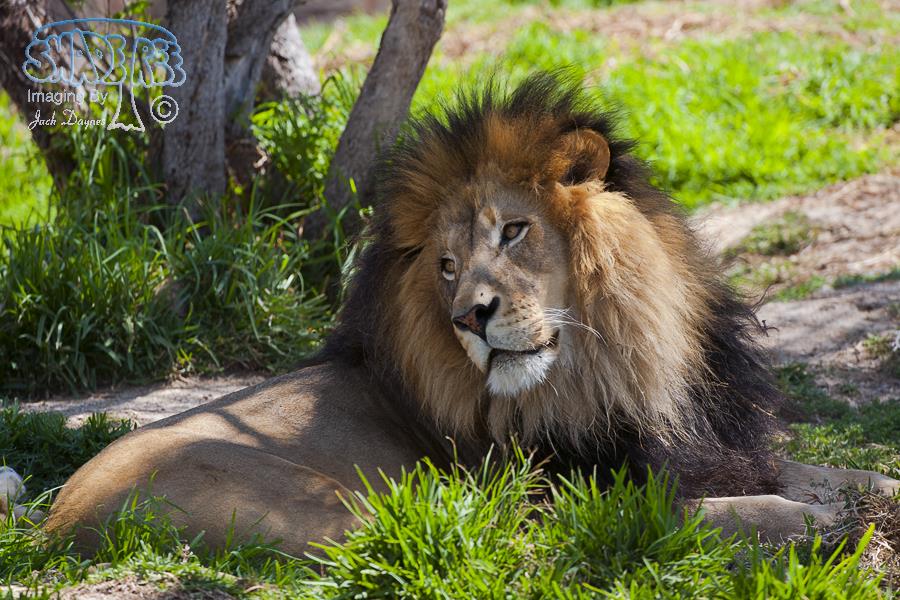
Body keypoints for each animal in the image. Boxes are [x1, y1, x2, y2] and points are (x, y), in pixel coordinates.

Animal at [24, 73, 897, 553]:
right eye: (444, 266)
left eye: (513, 231)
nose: (469, 317)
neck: (622, 355)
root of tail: (53, 522)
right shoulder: (592, 481)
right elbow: (712, 511)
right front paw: (817, 522)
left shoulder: (712, 445)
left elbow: (847, 469)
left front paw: (854, 493)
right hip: (356, 502)